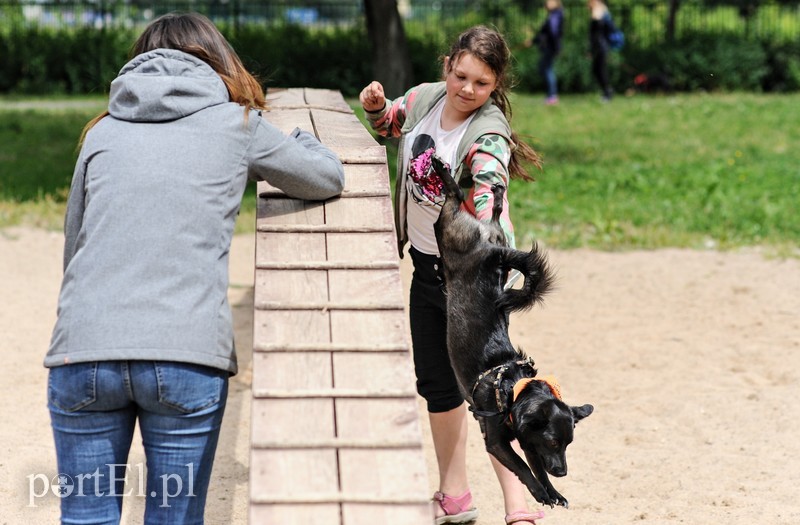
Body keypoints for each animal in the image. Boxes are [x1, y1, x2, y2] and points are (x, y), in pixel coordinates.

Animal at [432, 156, 592, 508]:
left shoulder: (527, 439)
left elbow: (536, 467)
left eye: (568, 443)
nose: (563, 472)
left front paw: (553, 492)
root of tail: (489, 257)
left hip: (492, 238)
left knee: (485, 214)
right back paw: (440, 169)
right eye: (554, 442)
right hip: (450, 233)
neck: (510, 389)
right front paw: (540, 492)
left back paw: (494, 192)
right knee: (452, 200)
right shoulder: (497, 441)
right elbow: (522, 467)